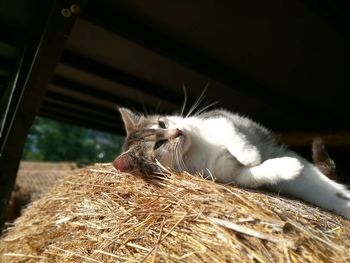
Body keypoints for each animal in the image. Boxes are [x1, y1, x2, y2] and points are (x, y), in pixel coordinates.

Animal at [114, 107, 350, 221]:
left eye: (162, 123)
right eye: (158, 145)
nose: (179, 131)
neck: (194, 149)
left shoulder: (216, 118)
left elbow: (231, 134)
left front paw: (249, 153)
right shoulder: (230, 174)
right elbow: (252, 173)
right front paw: (280, 166)